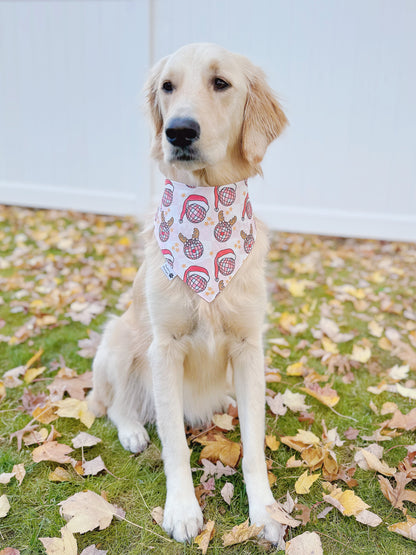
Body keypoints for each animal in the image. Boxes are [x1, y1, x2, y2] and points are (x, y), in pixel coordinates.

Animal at [88, 42, 286, 544]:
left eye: (221, 83)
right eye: (167, 87)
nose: (177, 130)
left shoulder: (249, 347)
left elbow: (253, 446)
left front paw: (266, 511)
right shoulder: (165, 347)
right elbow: (174, 442)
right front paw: (181, 509)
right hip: (120, 338)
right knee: (116, 404)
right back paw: (133, 431)